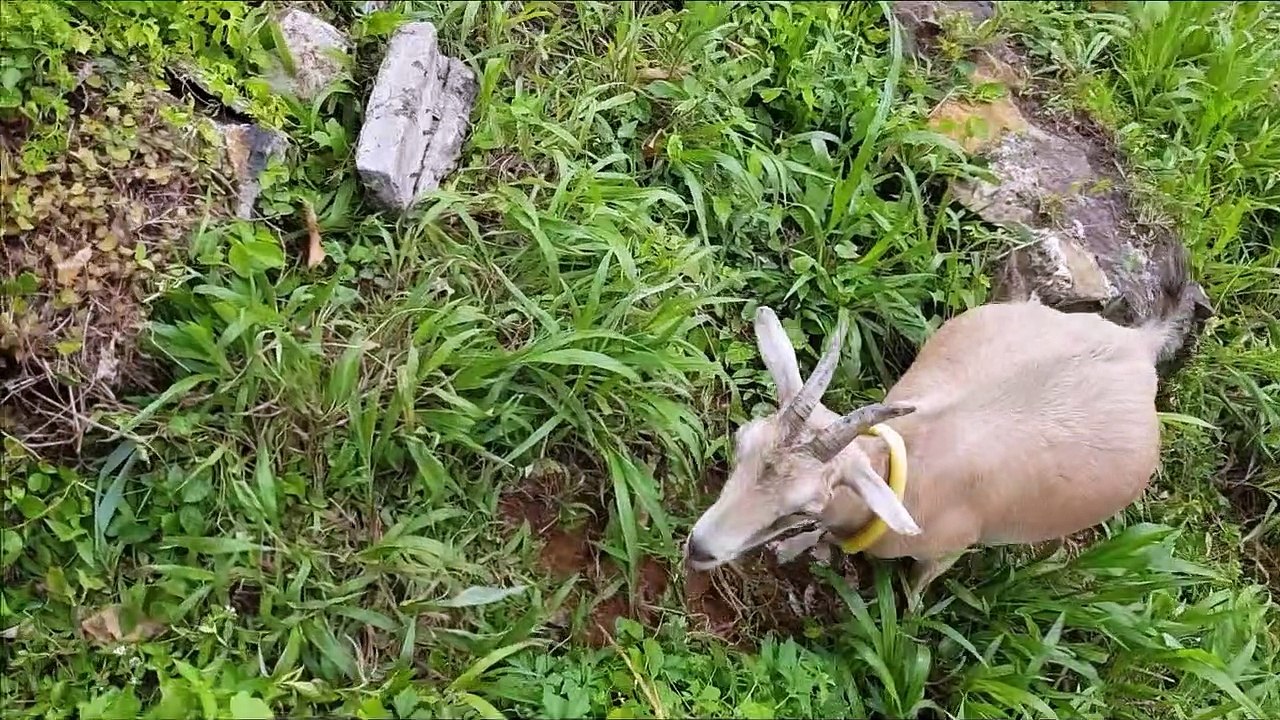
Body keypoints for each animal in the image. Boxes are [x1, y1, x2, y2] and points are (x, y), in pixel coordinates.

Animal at [685, 259, 1196, 602]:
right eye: (741, 443)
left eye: (801, 506)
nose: (699, 547)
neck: (905, 461)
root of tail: (1138, 343)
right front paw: (795, 548)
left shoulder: (945, 552)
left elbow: (916, 590)